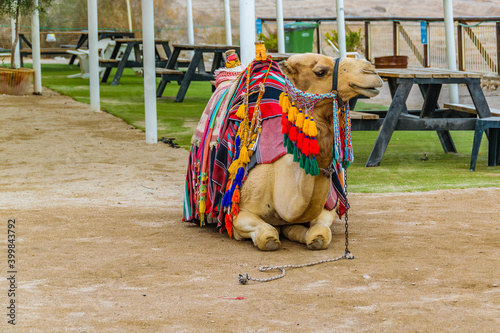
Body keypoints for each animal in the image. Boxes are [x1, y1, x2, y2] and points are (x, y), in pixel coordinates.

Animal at [230, 53, 382, 249]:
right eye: (320, 71)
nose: (371, 71)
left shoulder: (326, 210)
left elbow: (320, 233)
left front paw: (308, 236)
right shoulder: (238, 214)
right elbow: (267, 235)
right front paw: (273, 238)